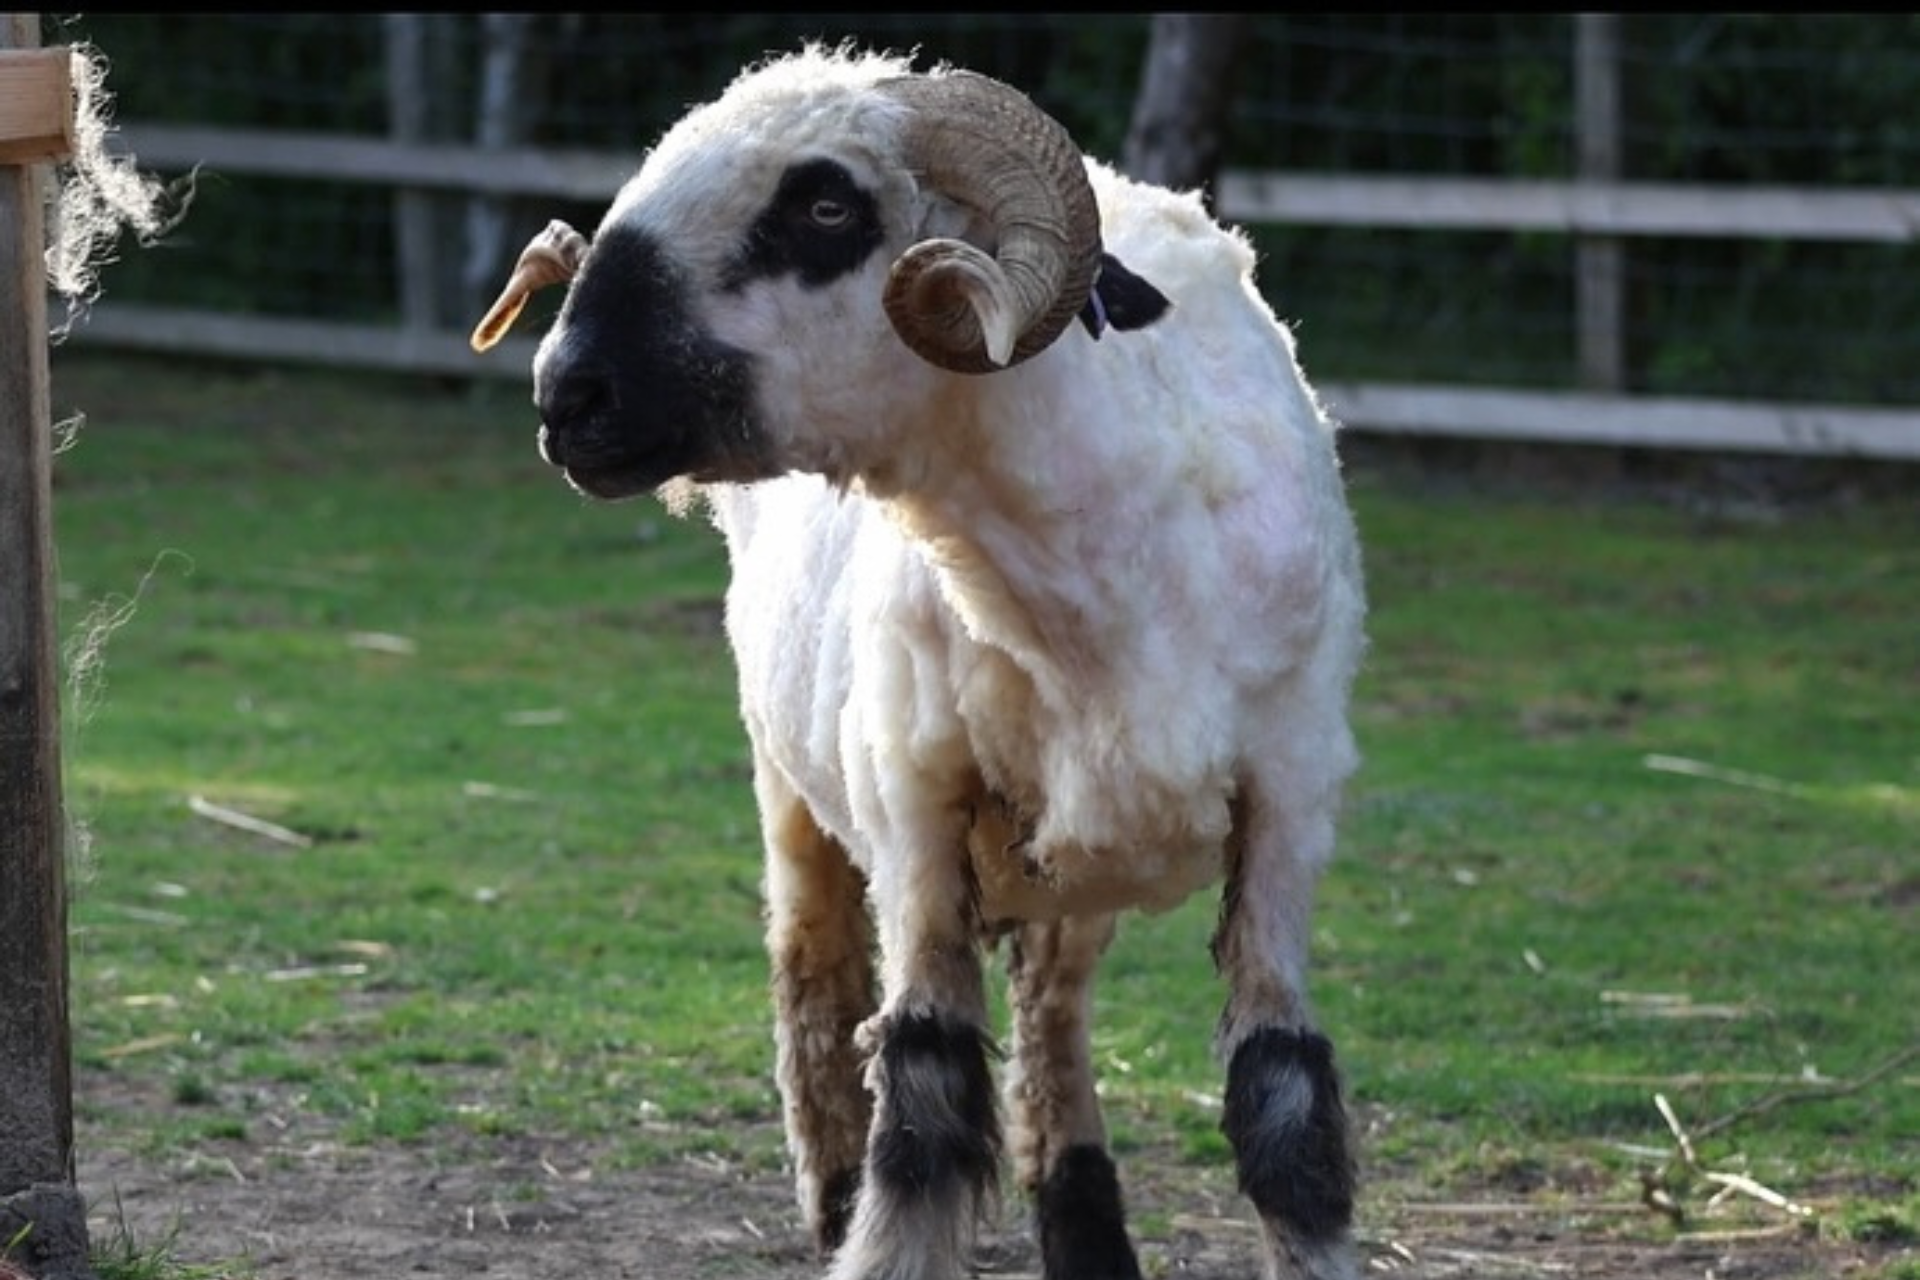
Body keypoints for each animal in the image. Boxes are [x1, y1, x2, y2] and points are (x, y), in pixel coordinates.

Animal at [471, 42, 1367, 1280]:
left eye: (825, 206)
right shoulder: (914, 805)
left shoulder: (1291, 793)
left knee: (1051, 1021)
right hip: (792, 777)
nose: (567, 397)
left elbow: (1283, 1106)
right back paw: (834, 1190)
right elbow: (927, 1096)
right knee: (815, 978)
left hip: (1071, 864)